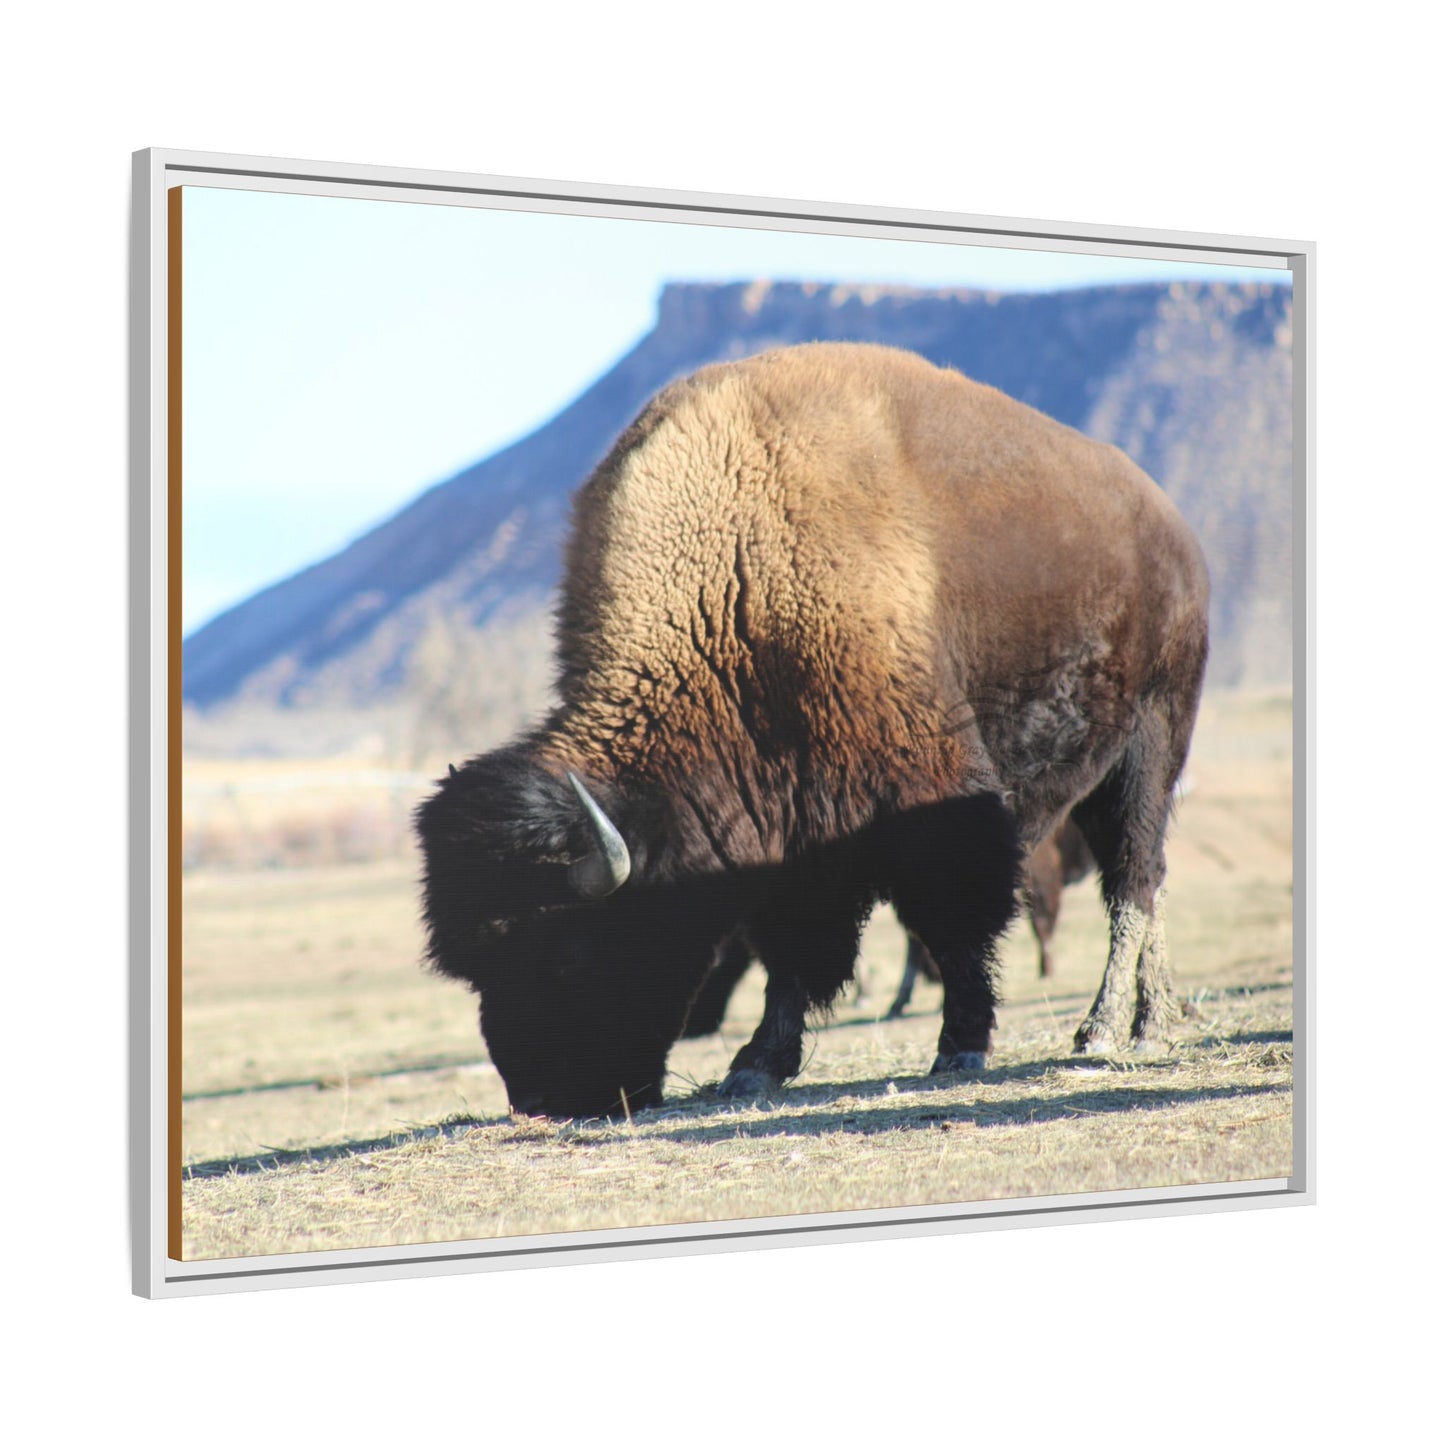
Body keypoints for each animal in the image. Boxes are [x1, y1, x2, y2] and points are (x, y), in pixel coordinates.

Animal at [417, 342, 1209, 1119]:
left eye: (567, 950)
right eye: (476, 968)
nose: (540, 1101)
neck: (735, 582)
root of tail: (1171, 528)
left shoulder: (929, 799)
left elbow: (950, 922)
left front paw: (960, 1045)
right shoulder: (788, 830)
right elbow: (792, 950)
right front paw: (756, 1065)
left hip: (1149, 746)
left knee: (1132, 881)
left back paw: (1108, 1029)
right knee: (1149, 881)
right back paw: (1154, 1019)